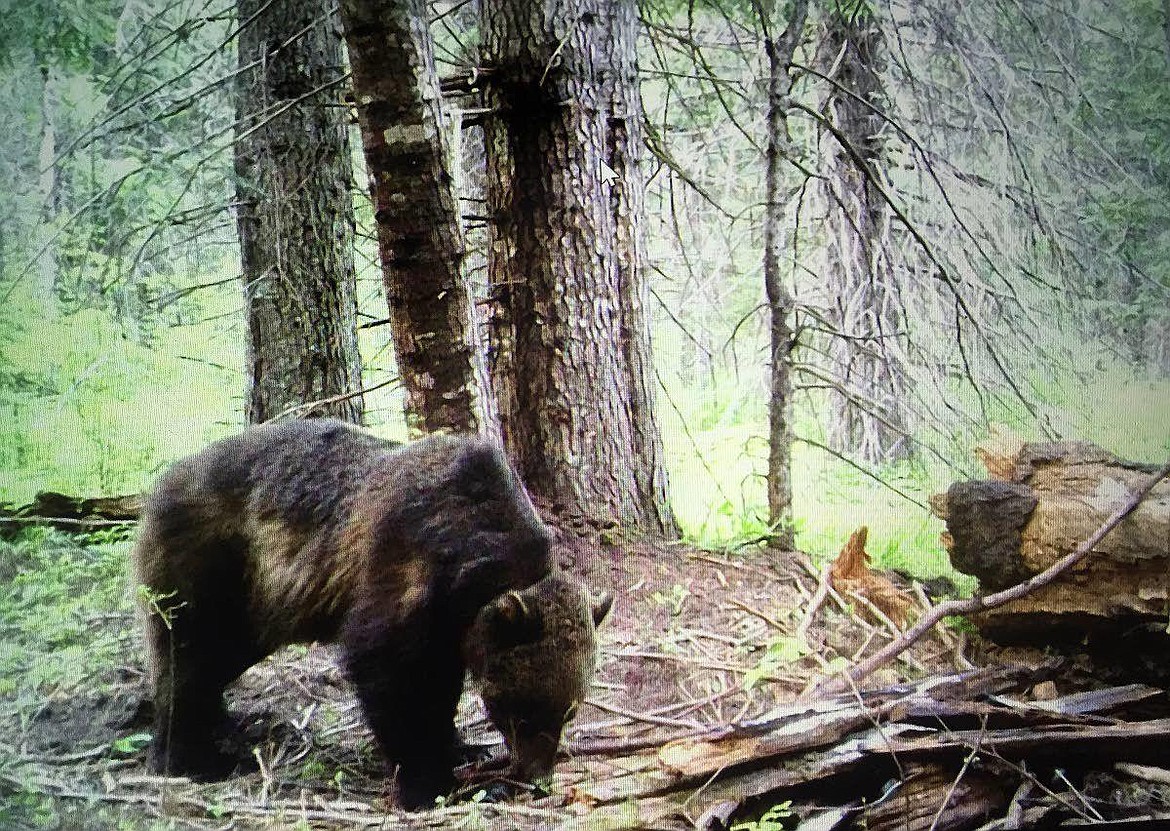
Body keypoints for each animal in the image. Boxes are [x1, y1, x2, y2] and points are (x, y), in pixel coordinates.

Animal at [133, 419, 613, 809]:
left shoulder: (448, 624)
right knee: (187, 657)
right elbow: (388, 676)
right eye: (523, 710)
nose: (538, 777)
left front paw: (462, 747)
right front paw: (429, 783)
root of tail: (159, 484)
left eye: (570, 710)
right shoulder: (400, 569)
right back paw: (189, 758)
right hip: (213, 568)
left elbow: (440, 686)